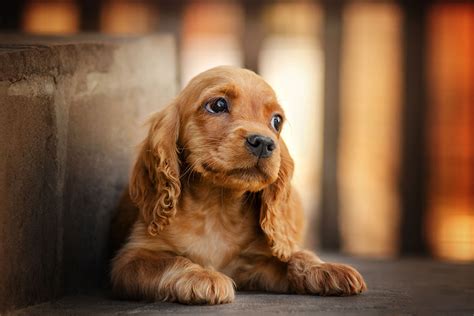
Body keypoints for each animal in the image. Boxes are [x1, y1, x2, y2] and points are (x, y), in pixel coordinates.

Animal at [111, 66, 366, 304]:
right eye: (218, 105)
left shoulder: (252, 263)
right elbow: (170, 260)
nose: (263, 142)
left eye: (276, 121)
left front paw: (326, 268)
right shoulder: (131, 259)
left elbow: (294, 257)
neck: (217, 208)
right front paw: (203, 277)